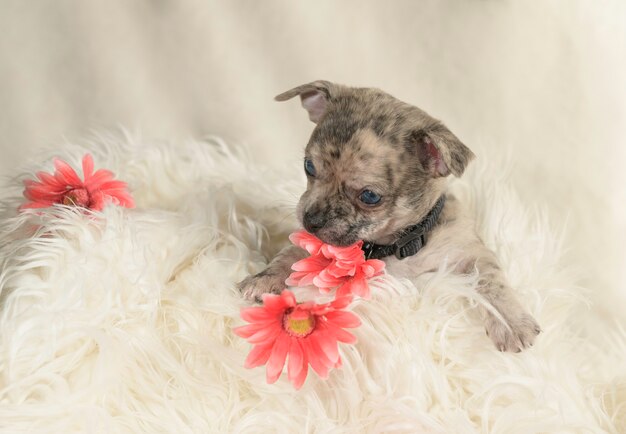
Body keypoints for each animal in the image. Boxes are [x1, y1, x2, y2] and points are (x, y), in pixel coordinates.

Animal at [236, 81, 540, 352]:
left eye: (370, 196)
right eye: (309, 167)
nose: (311, 220)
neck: (395, 245)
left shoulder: (468, 252)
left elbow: (492, 281)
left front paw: (511, 322)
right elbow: (290, 254)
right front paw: (265, 278)